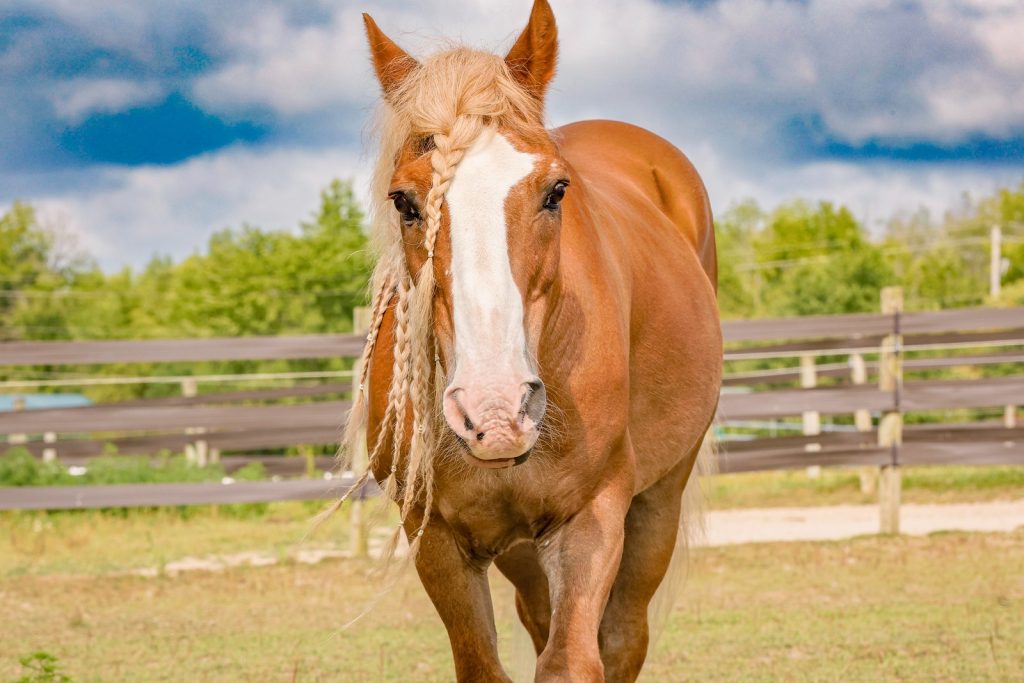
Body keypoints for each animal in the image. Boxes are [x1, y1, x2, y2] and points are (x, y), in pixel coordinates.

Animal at [339, 2, 724, 679]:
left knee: (623, 636)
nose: (494, 412)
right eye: (405, 203)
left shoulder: (592, 518)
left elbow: (574, 658)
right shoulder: (435, 539)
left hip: (657, 504)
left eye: (555, 192)